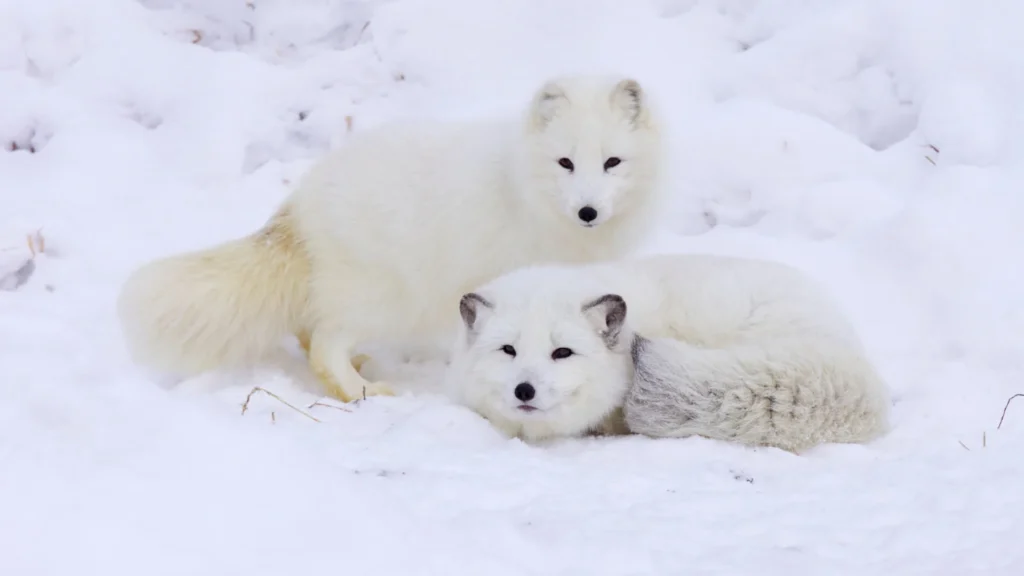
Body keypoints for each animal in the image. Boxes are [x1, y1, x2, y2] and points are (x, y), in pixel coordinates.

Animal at [116, 74, 665, 402]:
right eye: (565, 162)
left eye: (612, 162)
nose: (588, 211)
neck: (525, 187)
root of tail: (300, 202)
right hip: (385, 297)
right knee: (324, 345)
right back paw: (362, 391)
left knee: (310, 330)